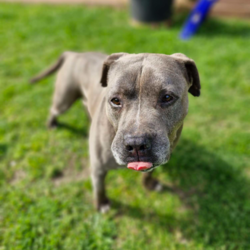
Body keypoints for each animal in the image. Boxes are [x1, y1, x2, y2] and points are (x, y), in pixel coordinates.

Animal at [30, 51, 200, 212]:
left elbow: (150, 171)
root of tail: (75, 53)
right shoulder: (98, 167)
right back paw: (52, 124)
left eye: (167, 97)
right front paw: (102, 204)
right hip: (64, 100)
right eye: (115, 100)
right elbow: (99, 188)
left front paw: (149, 184)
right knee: (54, 110)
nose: (136, 144)